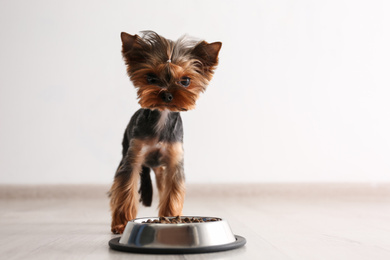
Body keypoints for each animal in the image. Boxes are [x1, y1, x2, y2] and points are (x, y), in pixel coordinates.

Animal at [108, 30, 221, 234]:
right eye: (151, 78)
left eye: (185, 81)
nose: (167, 94)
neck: (162, 117)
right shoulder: (133, 160)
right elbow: (125, 190)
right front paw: (121, 224)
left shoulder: (174, 164)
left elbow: (172, 193)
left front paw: (170, 218)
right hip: (125, 150)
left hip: (160, 170)